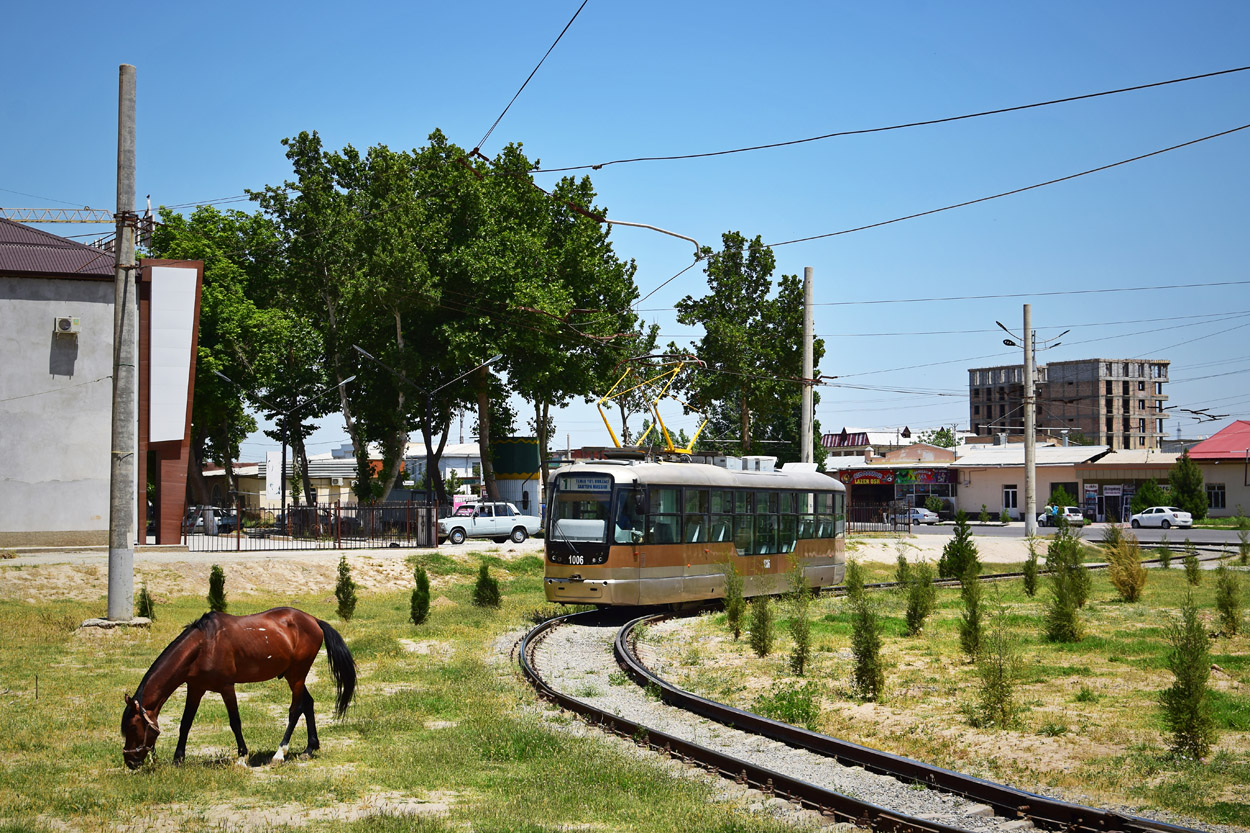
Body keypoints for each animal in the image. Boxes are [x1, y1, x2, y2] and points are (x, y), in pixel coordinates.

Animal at [119, 602, 355, 765]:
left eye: (132, 726)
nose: (130, 762)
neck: (204, 645)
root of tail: (314, 620)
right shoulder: (195, 688)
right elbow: (185, 723)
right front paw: (178, 759)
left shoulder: (226, 687)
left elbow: (235, 722)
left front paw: (242, 756)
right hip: (292, 675)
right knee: (308, 703)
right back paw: (309, 748)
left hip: (297, 675)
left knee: (295, 709)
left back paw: (280, 753)